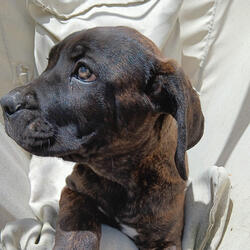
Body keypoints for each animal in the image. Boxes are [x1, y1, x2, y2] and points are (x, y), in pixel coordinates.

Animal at [0, 26, 204, 249]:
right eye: (49, 63)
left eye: (83, 72)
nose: (6, 103)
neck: (121, 177)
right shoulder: (74, 190)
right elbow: (78, 230)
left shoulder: (167, 238)